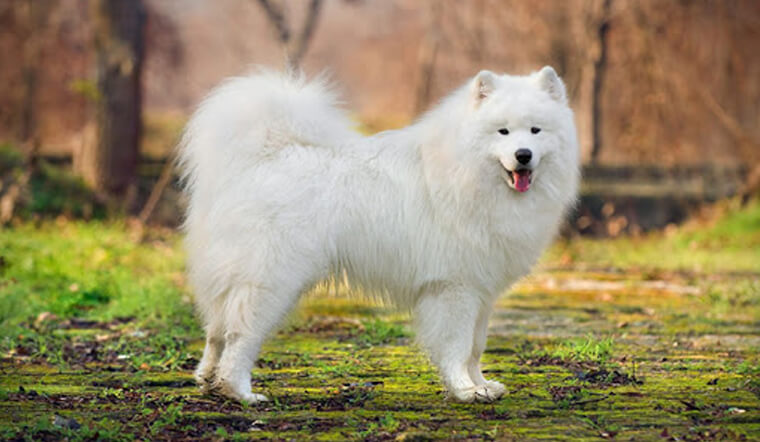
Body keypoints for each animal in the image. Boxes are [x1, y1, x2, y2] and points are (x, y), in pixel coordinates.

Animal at [178, 66, 580, 404]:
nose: (523, 155)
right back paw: (240, 392)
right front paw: (465, 391)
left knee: (217, 329)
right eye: (503, 131)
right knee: (240, 335)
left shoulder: (482, 291)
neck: (468, 173)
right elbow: (457, 346)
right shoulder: (455, 288)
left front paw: (482, 385)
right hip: (271, 278)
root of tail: (263, 156)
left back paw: (208, 379)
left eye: (536, 130)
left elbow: (476, 347)